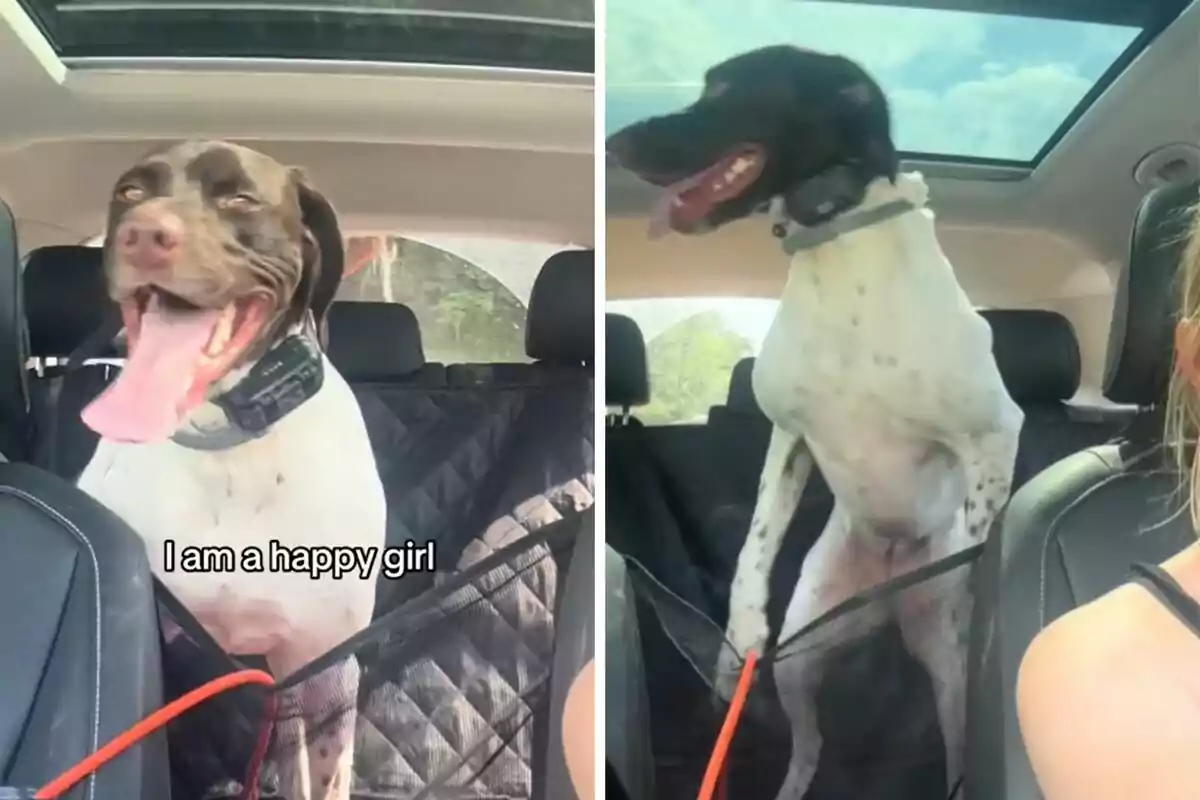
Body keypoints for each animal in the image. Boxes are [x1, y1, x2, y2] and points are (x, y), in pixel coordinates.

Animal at [609, 47, 1022, 796]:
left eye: (728, 89)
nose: (615, 143)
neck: (836, 238)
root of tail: (886, 592)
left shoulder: (994, 432)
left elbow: (981, 539)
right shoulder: (790, 434)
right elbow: (754, 546)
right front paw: (738, 633)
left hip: (946, 675)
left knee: (955, 744)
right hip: (804, 652)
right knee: (809, 742)